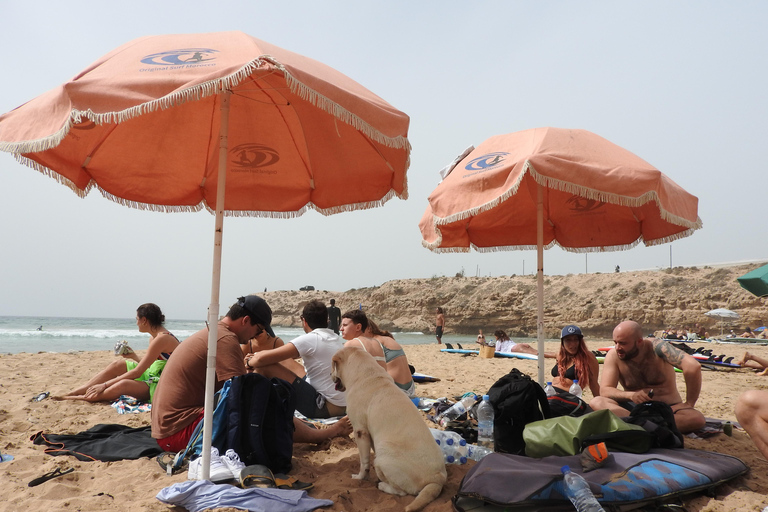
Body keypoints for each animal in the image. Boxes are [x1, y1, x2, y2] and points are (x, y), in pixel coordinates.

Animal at [332, 346, 450, 510]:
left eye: (332, 366)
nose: (330, 376)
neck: (367, 375)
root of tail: (437, 481)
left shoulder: (360, 431)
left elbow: (364, 462)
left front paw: (360, 477)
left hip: (383, 457)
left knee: (402, 492)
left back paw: (382, 485)